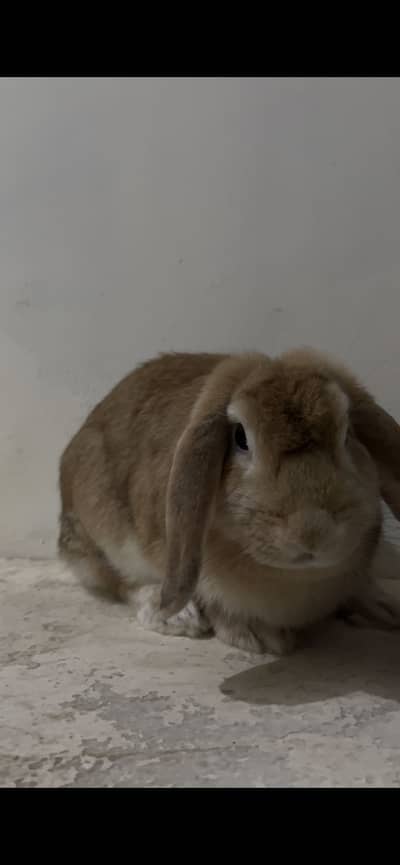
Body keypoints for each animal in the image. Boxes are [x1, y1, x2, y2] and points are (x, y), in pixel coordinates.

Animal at [58, 348, 400, 655]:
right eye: (240, 438)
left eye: (348, 433)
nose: (313, 530)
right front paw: (258, 636)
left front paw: (383, 607)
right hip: (100, 533)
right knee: (118, 582)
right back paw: (177, 616)